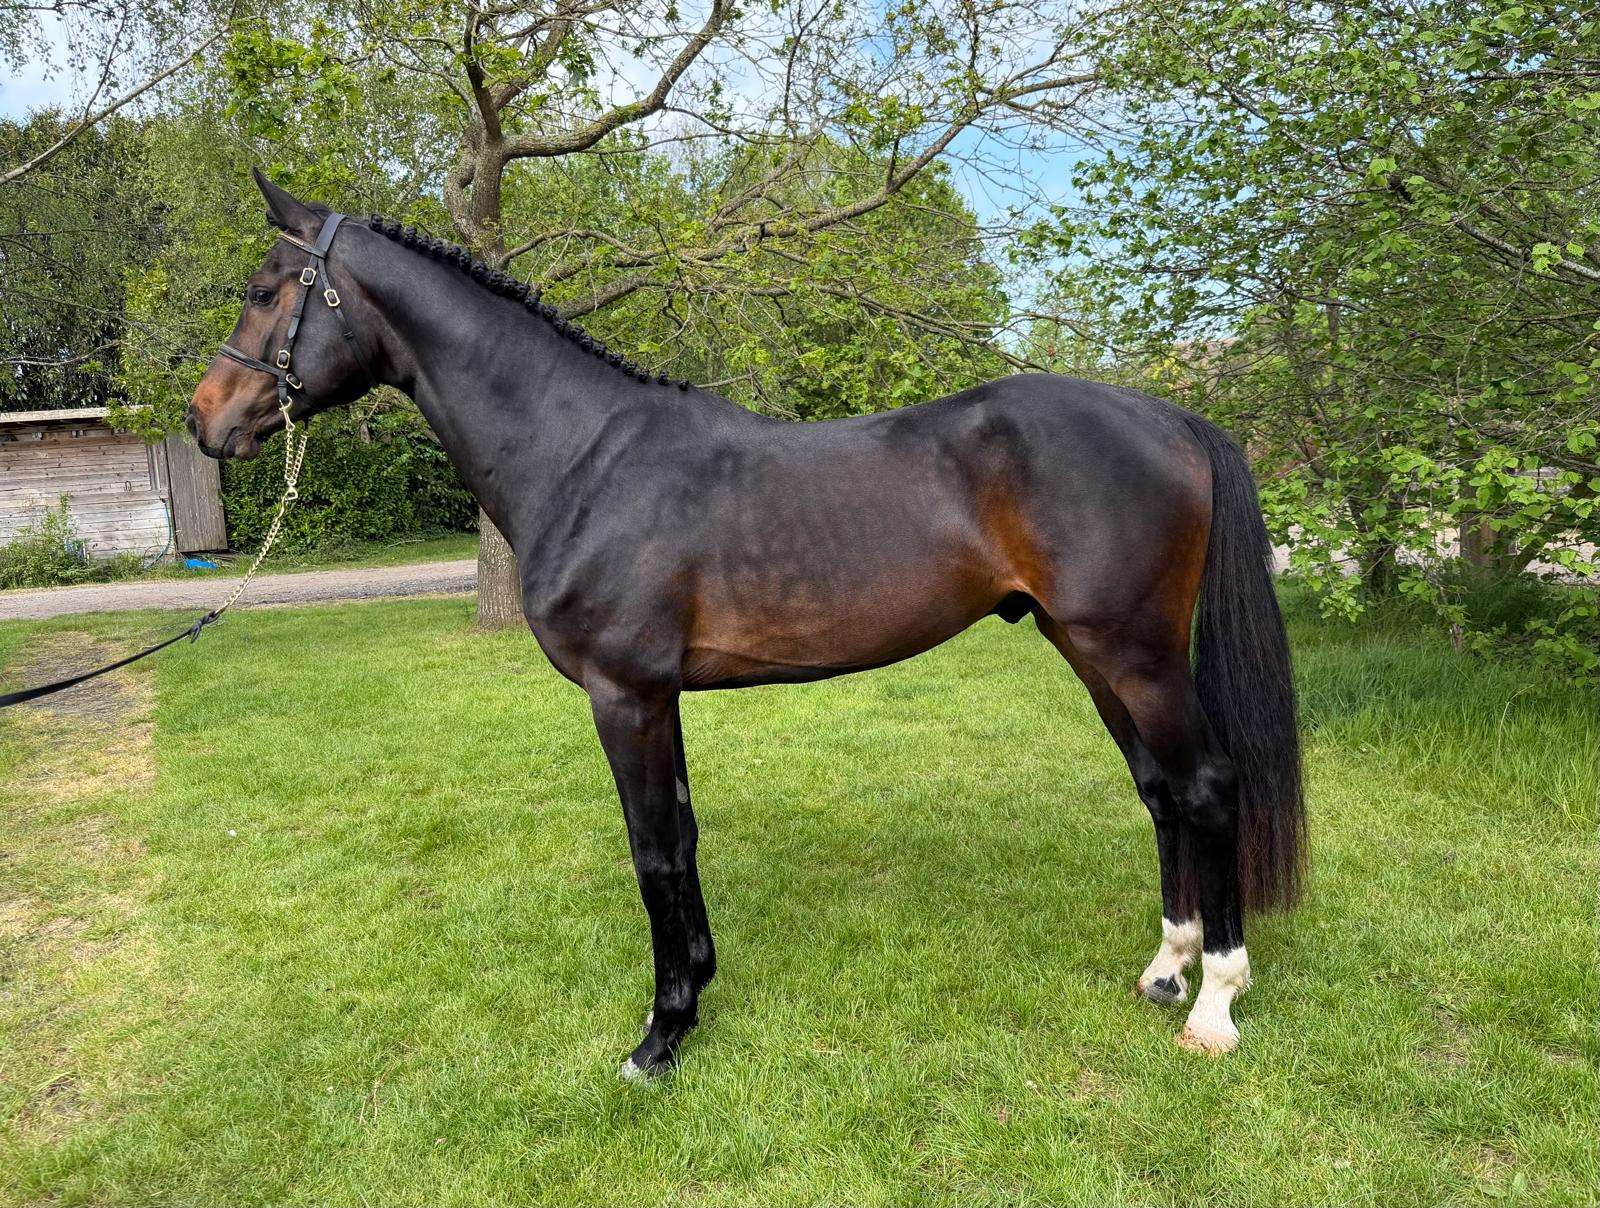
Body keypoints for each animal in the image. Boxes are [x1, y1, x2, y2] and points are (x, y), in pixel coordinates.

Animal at [188, 170, 1305, 1079]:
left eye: (264, 289)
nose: (206, 419)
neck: (581, 455)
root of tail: (1171, 417)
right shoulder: (660, 696)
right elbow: (682, 836)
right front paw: (696, 990)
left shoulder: (624, 695)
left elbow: (651, 852)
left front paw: (659, 1035)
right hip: (1086, 647)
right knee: (1160, 791)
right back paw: (1165, 969)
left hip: (1136, 650)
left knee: (1208, 788)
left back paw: (1213, 1006)